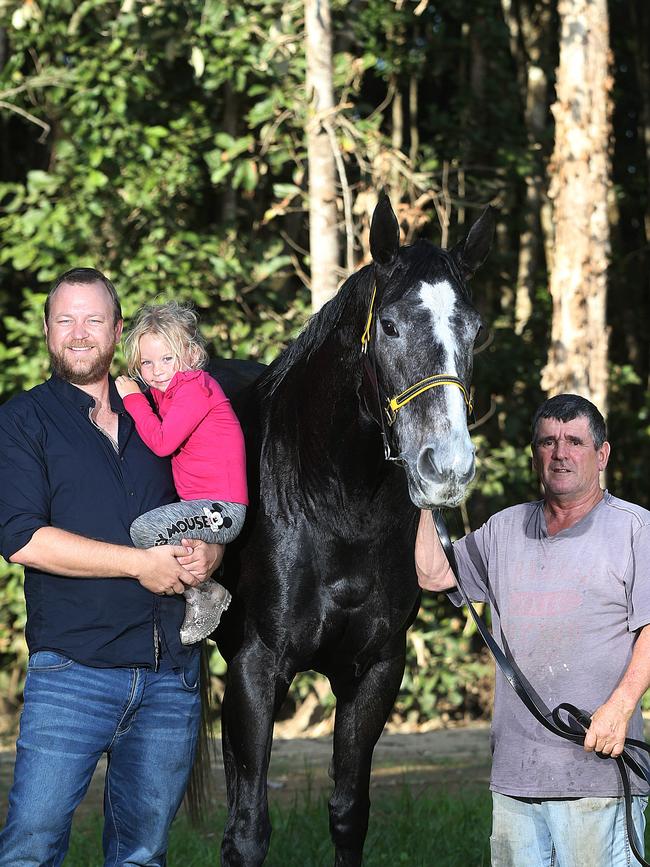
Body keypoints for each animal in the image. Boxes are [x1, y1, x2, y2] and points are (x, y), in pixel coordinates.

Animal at [214, 198, 492, 867]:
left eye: (475, 330)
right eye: (389, 325)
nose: (446, 468)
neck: (334, 510)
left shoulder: (374, 669)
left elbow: (347, 813)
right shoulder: (258, 667)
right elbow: (250, 832)